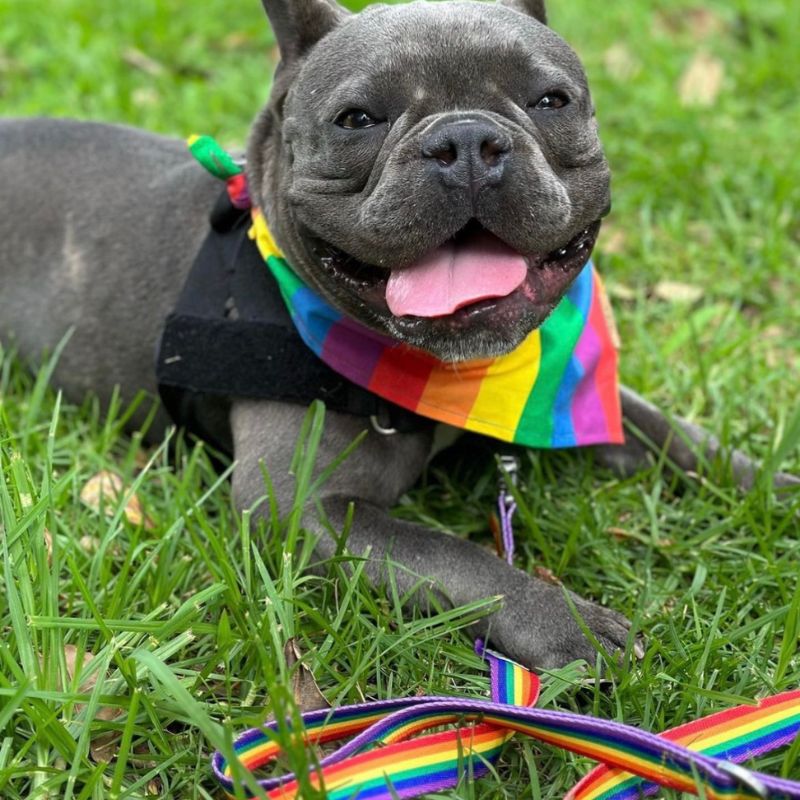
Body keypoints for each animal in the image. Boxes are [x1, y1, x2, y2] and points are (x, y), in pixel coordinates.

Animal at [0, 0, 792, 668]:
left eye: (551, 101)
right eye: (356, 119)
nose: (466, 139)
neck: (458, 377)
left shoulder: (581, 398)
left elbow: (679, 437)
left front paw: (773, 486)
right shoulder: (300, 509)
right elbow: (456, 558)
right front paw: (565, 620)